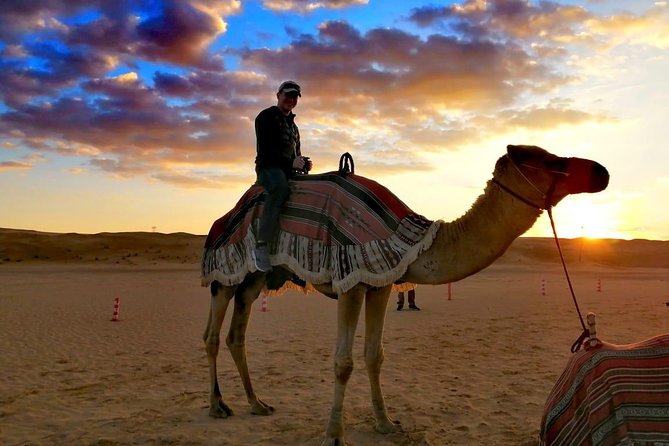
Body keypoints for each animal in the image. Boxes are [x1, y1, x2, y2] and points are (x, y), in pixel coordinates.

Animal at [201, 144, 610, 446]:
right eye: (546, 159)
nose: (601, 171)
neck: (413, 243)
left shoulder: (379, 283)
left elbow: (374, 356)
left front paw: (385, 423)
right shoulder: (351, 277)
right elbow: (343, 362)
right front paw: (334, 436)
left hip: (255, 280)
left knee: (237, 334)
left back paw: (256, 403)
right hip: (224, 271)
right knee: (212, 335)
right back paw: (218, 406)